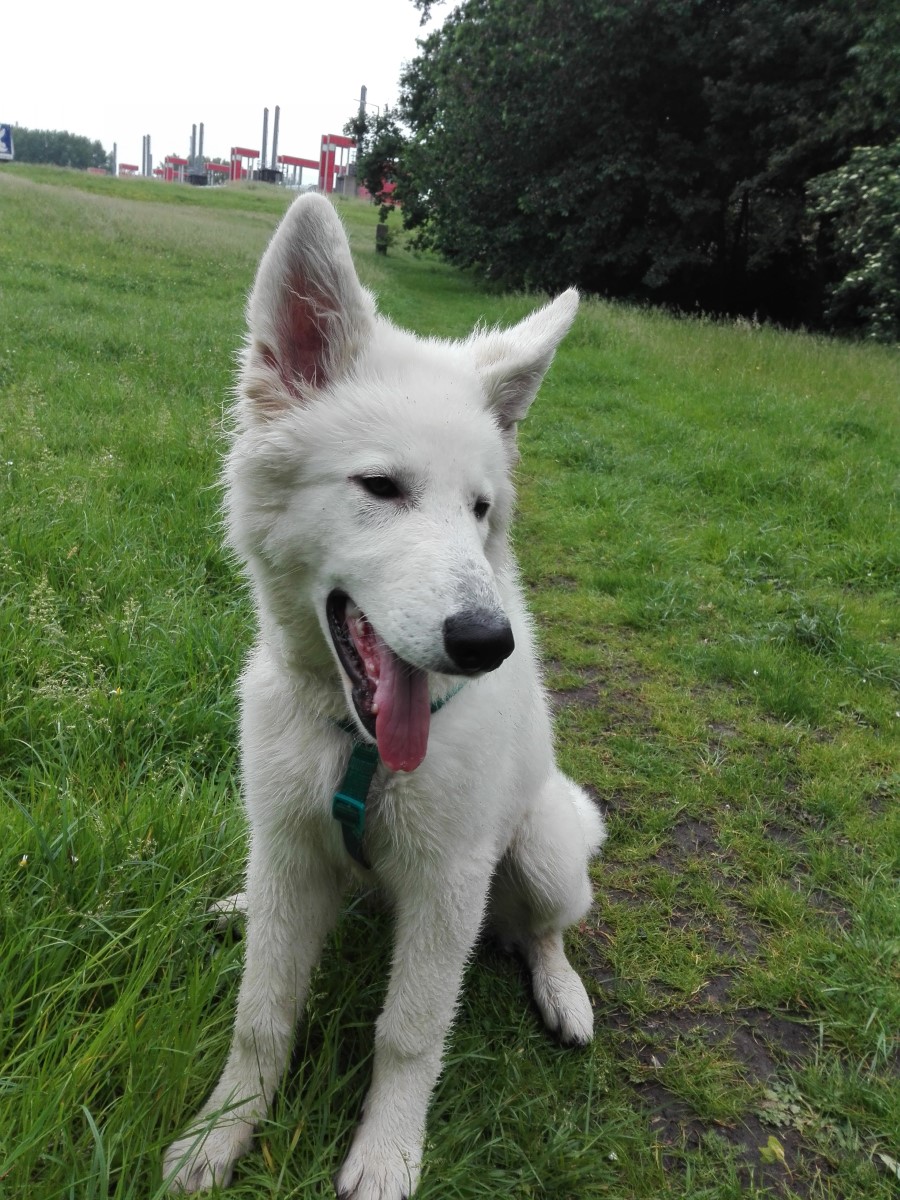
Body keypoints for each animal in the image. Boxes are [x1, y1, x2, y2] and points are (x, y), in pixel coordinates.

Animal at [163, 193, 606, 1198]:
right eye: (380, 486)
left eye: (480, 510)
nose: (487, 643)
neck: (354, 745)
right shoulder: (290, 842)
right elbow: (261, 1014)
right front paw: (223, 1129)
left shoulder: (447, 884)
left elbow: (408, 1034)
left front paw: (387, 1154)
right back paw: (240, 907)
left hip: (546, 845)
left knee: (545, 930)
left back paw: (561, 990)